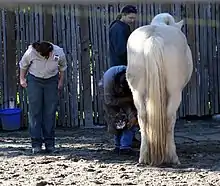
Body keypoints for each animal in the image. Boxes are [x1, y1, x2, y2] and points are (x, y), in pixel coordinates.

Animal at [126, 13, 193, 167]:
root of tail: (153, 36)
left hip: (137, 93)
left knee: (143, 116)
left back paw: (144, 156)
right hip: (174, 93)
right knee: (169, 117)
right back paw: (172, 157)